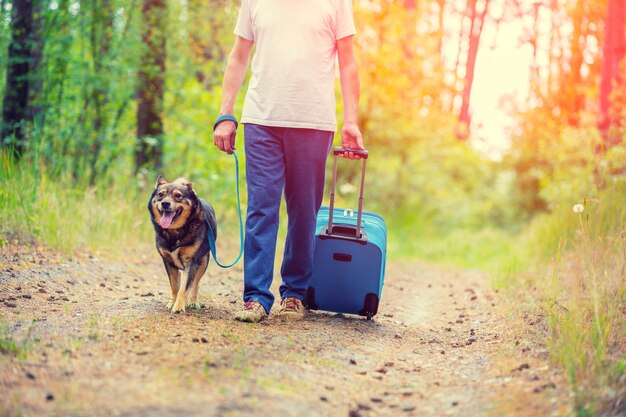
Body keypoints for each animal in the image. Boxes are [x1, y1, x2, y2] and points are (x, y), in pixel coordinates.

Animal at [147, 173, 217, 312]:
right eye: (160, 194)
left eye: (178, 196)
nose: (165, 203)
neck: (175, 232)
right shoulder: (169, 262)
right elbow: (175, 286)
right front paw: (172, 303)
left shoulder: (192, 263)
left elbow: (185, 288)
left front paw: (179, 307)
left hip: (203, 262)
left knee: (195, 284)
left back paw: (193, 302)